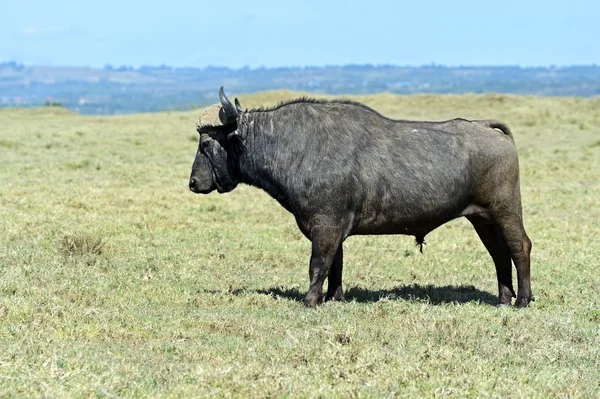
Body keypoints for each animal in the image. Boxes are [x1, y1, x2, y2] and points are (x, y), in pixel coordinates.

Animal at [190, 88, 532, 310]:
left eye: (206, 143)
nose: (193, 183)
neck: (292, 146)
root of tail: (485, 127)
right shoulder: (333, 230)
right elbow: (335, 265)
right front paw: (334, 298)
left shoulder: (324, 227)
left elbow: (318, 264)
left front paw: (310, 301)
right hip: (482, 219)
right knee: (499, 254)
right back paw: (504, 299)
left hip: (505, 211)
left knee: (520, 247)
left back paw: (523, 299)